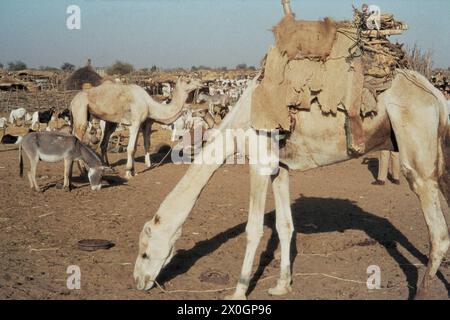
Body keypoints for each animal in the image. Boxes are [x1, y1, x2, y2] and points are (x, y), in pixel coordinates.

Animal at [71, 76, 202, 179]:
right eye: (188, 80)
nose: (201, 83)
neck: (150, 105)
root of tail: (73, 101)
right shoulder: (135, 123)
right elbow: (130, 148)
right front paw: (128, 172)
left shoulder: (140, 125)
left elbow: (137, 147)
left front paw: (134, 171)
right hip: (81, 110)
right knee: (79, 136)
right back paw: (83, 170)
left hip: (106, 121)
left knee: (103, 143)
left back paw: (106, 167)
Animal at [134, 3, 450, 300]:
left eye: (145, 251)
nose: (139, 281)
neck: (239, 119)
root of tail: (436, 95)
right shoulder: (280, 168)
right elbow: (285, 226)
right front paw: (281, 285)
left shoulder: (259, 161)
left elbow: (253, 229)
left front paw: (238, 290)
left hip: (417, 147)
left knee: (438, 232)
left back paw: (421, 291)